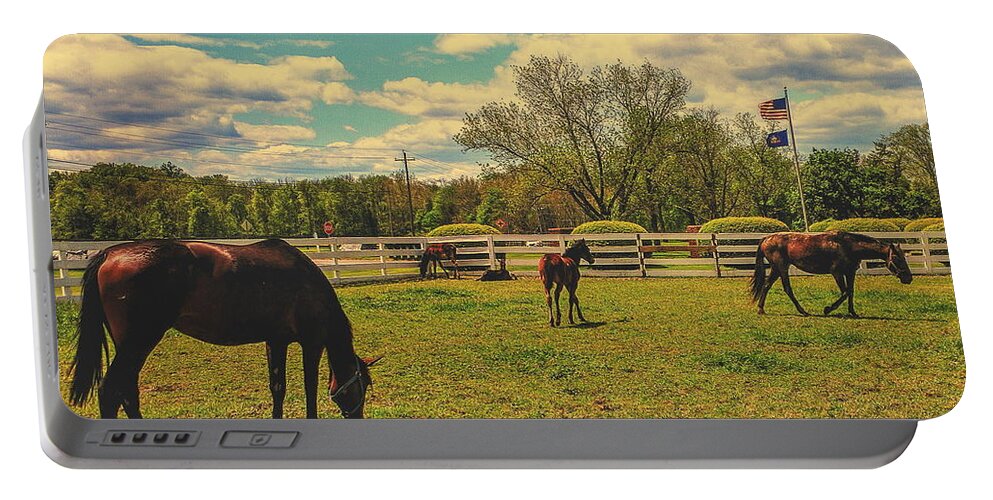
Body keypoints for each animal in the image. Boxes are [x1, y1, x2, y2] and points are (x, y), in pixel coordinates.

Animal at [69, 240, 380, 420]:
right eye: (363, 385)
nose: (358, 418)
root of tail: (109, 253)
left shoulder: (276, 341)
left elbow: (278, 388)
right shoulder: (312, 343)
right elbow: (309, 389)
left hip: (130, 346)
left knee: (127, 392)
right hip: (139, 342)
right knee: (111, 392)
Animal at [752, 230, 916, 316]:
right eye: (896, 258)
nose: (908, 278)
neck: (848, 246)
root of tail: (766, 238)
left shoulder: (850, 273)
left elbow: (851, 292)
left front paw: (852, 312)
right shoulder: (837, 273)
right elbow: (845, 293)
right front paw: (828, 309)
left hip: (776, 269)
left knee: (766, 286)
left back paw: (761, 309)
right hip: (782, 267)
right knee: (787, 289)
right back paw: (803, 311)